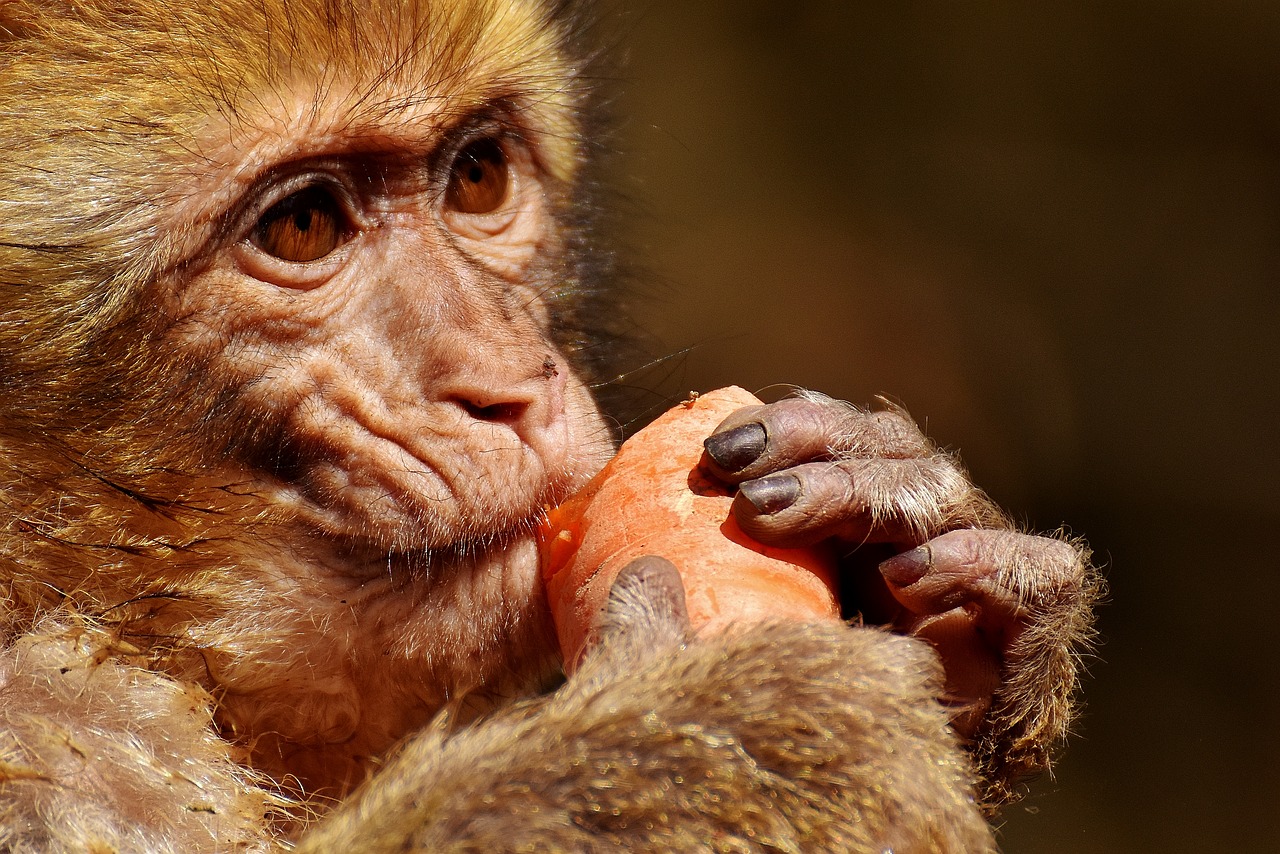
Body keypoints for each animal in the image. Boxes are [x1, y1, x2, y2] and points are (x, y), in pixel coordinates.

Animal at [0, 3, 1100, 850]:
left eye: (478, 174)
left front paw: (909, 538)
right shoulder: (59, 734)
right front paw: (748, 726)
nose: (514, 384)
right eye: (301, 226)